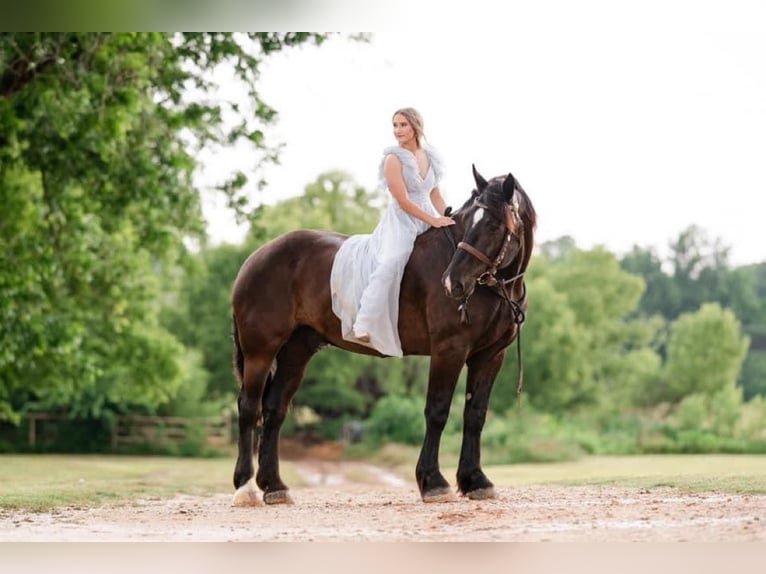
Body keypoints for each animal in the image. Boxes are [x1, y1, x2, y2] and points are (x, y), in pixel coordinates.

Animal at [231, 164, 536, 506]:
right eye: (470, 220)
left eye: (494, 225)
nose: (452, 282)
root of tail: (257, 256)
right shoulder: (449, 350)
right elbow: (438, 411)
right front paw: (433, 482)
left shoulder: (490, 356)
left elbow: (475, 415)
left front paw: (475, 481)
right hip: (260, 351)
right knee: (249, 407)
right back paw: (245, 487)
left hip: (296, 353)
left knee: (274, 409)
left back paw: (274, 486)